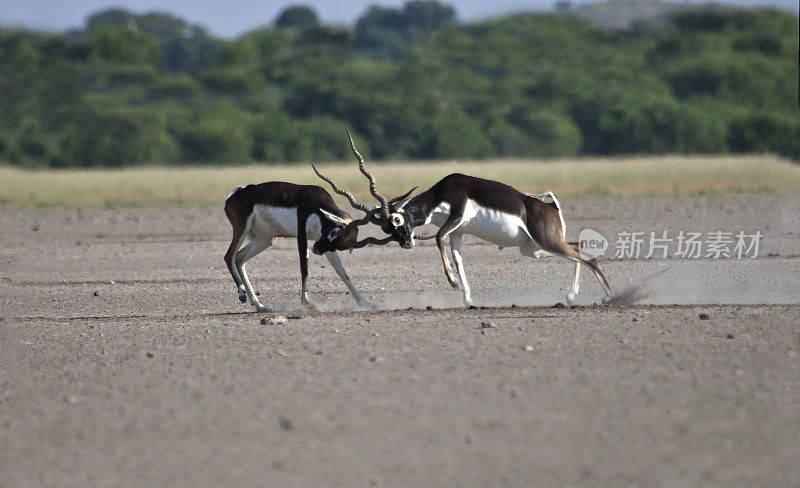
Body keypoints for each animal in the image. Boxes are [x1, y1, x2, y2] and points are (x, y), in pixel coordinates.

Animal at [223, 181, 386, 310]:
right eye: (334, 232)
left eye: (340, 246)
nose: (316, 250)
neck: (317, 206)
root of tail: (237, 192)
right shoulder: (302, 235)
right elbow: (304, 268)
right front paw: (306, 303)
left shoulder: (322, 243)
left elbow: (342, 272)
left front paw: (365, 303)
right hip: (242, 228)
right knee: (229, 256)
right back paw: (242, 295)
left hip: (267, 239)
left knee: (239, 258)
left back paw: (259, 305)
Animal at [312, 132, 612, 306]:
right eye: (387, 229)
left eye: (396, 220)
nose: (407, 243)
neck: (441, 194)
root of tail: (550, 207)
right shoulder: (457, 233)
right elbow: (458, 259)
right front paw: (467, 298)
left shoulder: (455, 218)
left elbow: (437, 238)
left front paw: (453, 283)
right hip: (534, 248)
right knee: (578, 249)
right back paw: (570, 296)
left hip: (545, 242)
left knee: (588, 258)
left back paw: (608, 296)